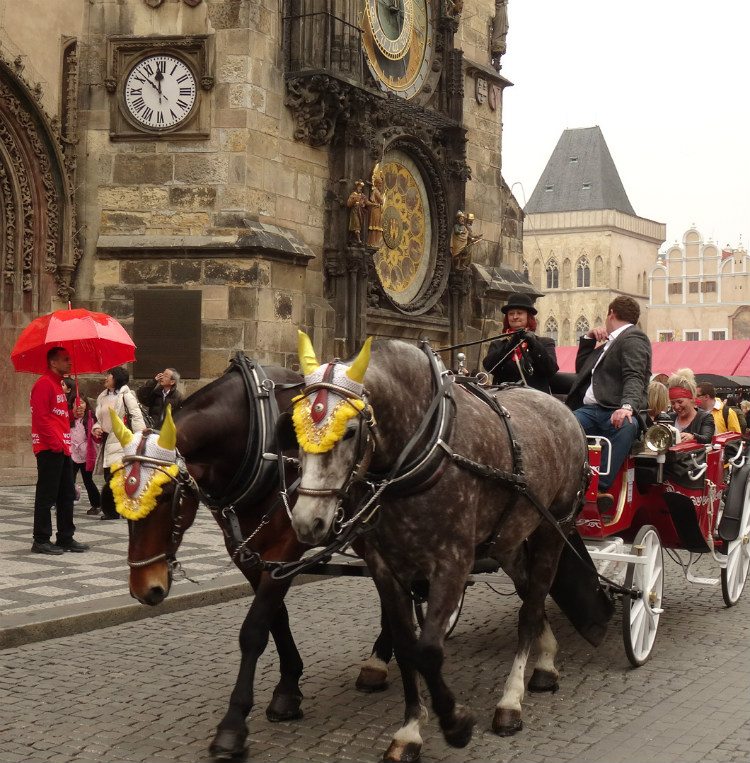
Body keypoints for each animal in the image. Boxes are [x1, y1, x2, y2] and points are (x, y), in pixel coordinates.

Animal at [108, 358, 394, 763]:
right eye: (116, 494)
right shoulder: (245, 550)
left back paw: (381, 659)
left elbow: (254, 629)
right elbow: (276, 619)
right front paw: (288, 688)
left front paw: (233, 724)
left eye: (164, 495)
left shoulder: (287, 545)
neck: (260, 440)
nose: (144, 589)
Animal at [288, 334, 604, 763]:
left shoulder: (452, 563)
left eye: (350, 430)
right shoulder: (385, 567)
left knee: (531, 606)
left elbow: (429, 650)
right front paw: (409, 731)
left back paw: (511, 700)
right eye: (295, 427)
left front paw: (455, 723)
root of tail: (562, 410)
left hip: (552, 530)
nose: (308, 521)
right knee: (529, 594)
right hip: (508, 539)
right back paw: (546, 660)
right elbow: (406, 646)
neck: (426, 449)